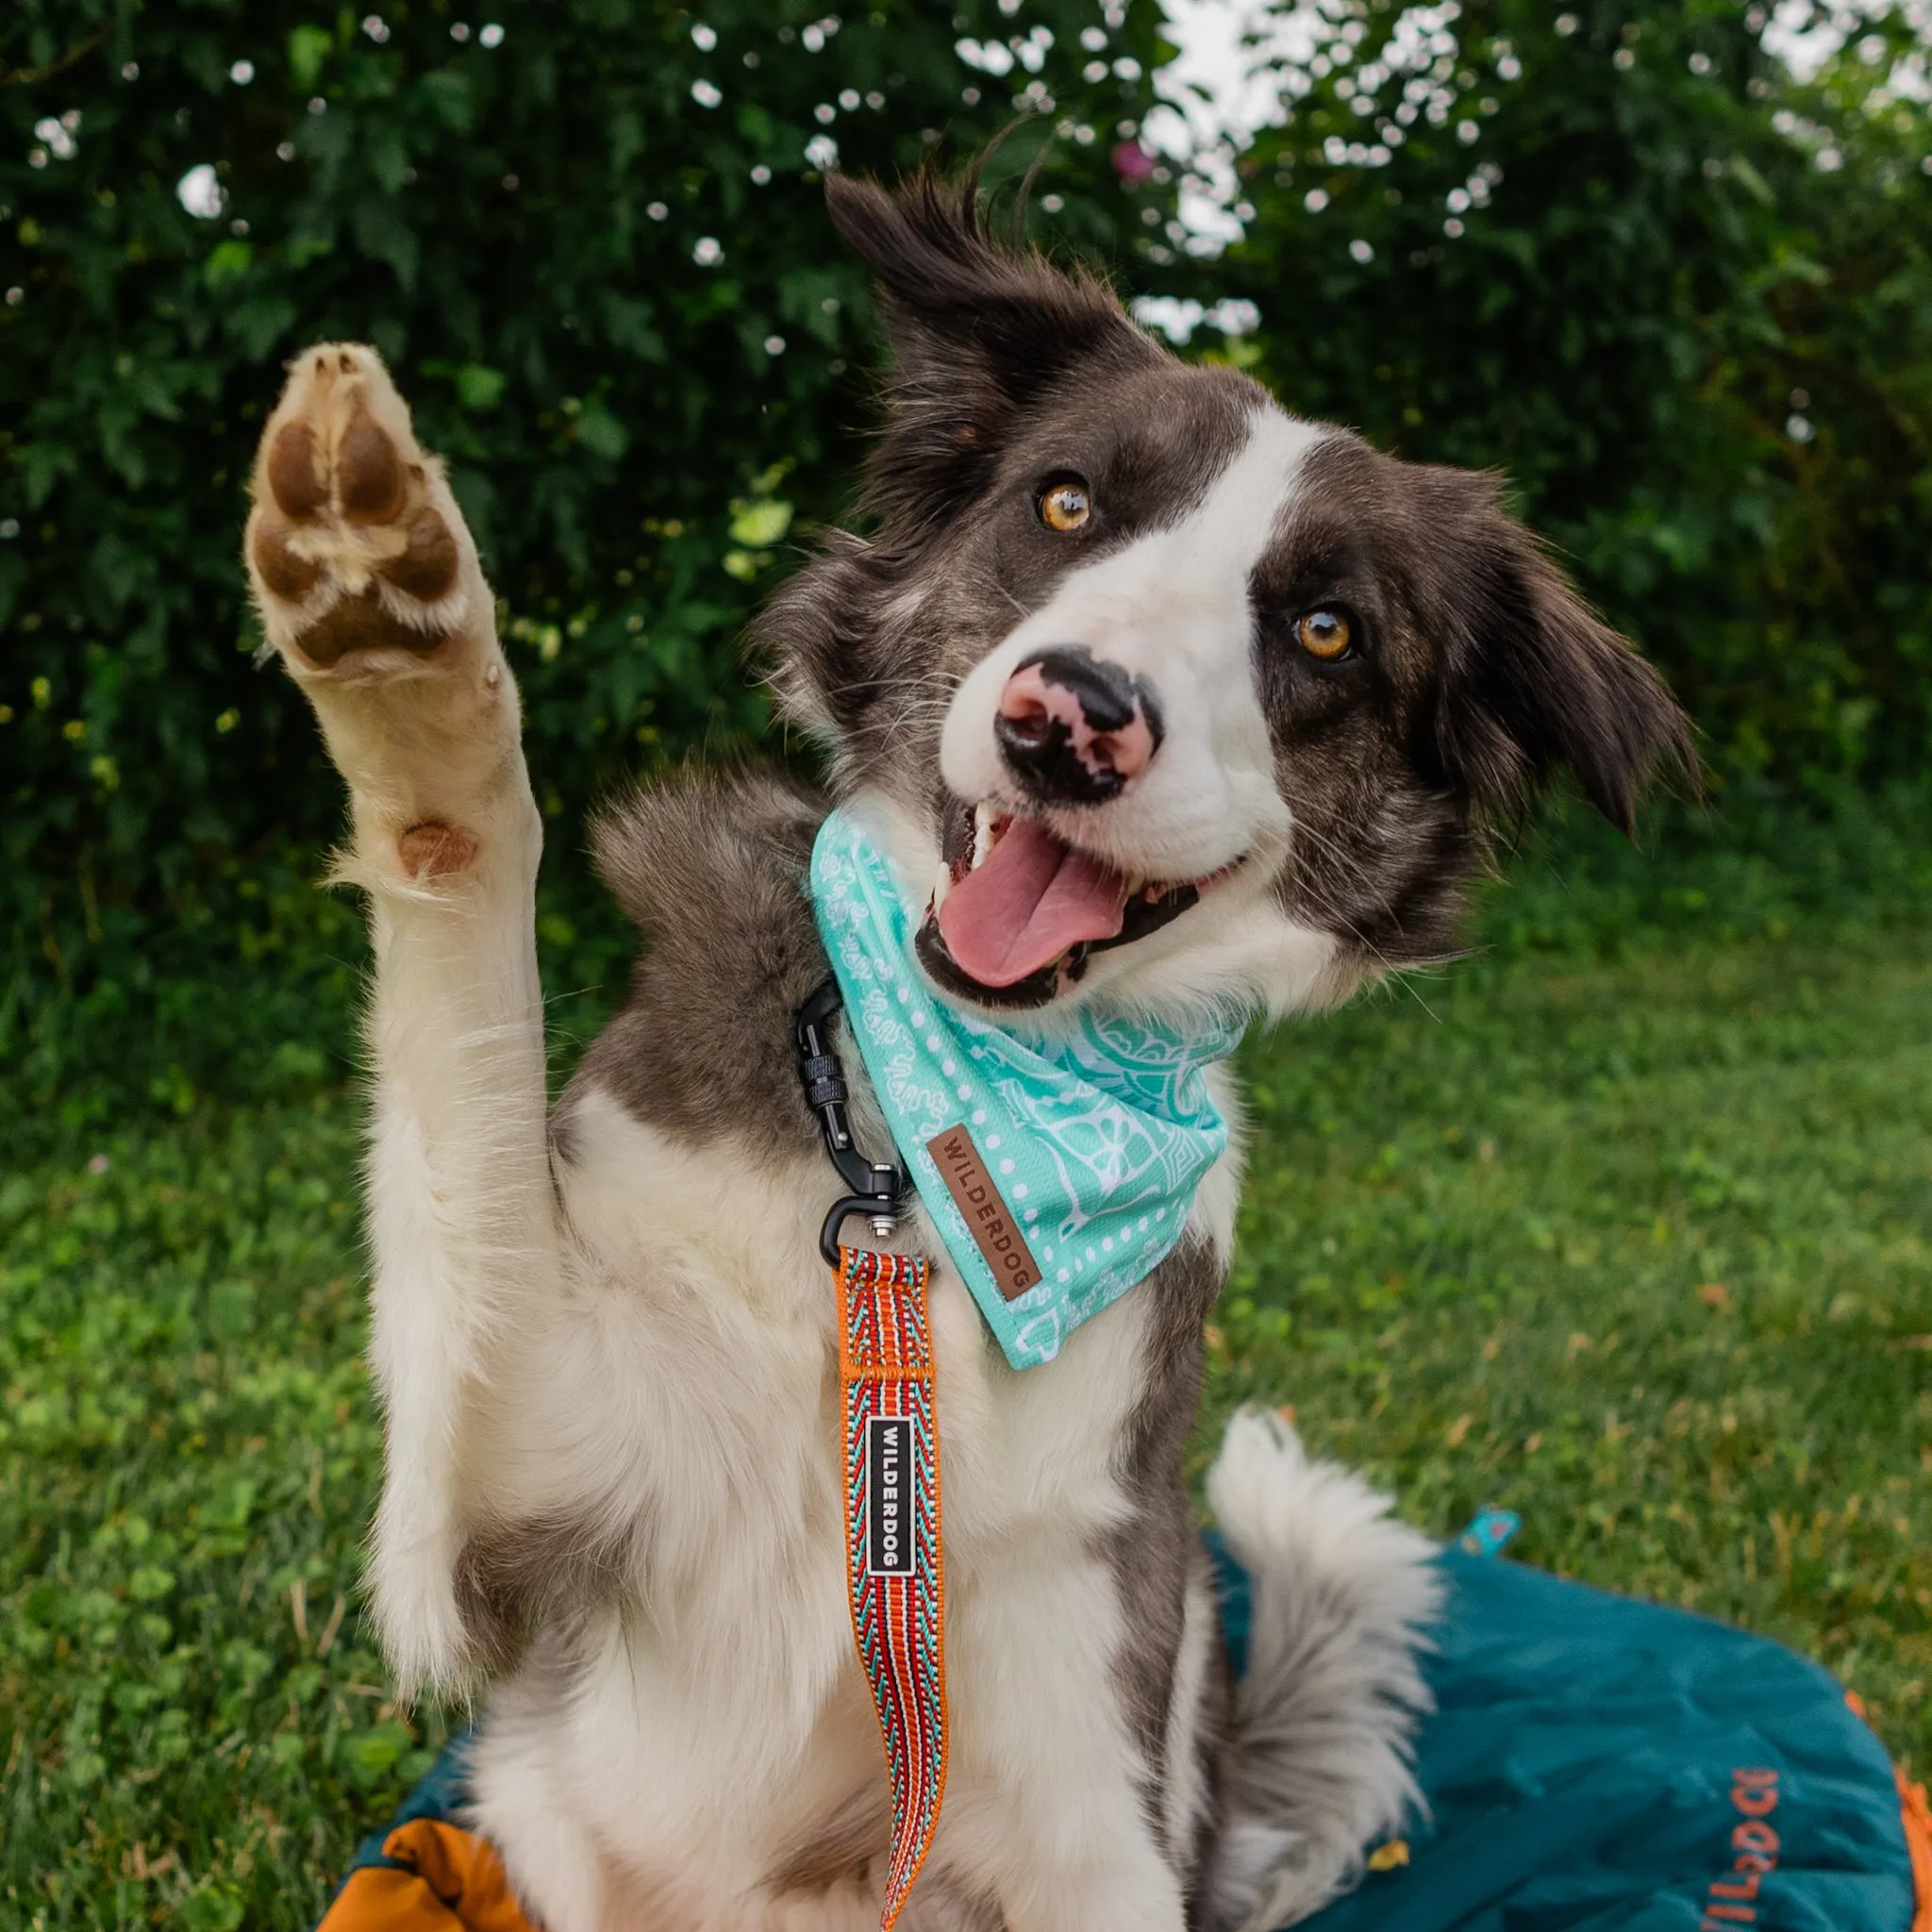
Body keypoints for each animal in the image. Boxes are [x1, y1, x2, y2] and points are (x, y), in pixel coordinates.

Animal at [245, 170, 1692, 1932]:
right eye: (1064, 507)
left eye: (1326, 628)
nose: (1066, 717)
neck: (930, 1149)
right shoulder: (504, 1489)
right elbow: (461, 1048)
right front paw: (387, 615)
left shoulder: (1092, 1806)